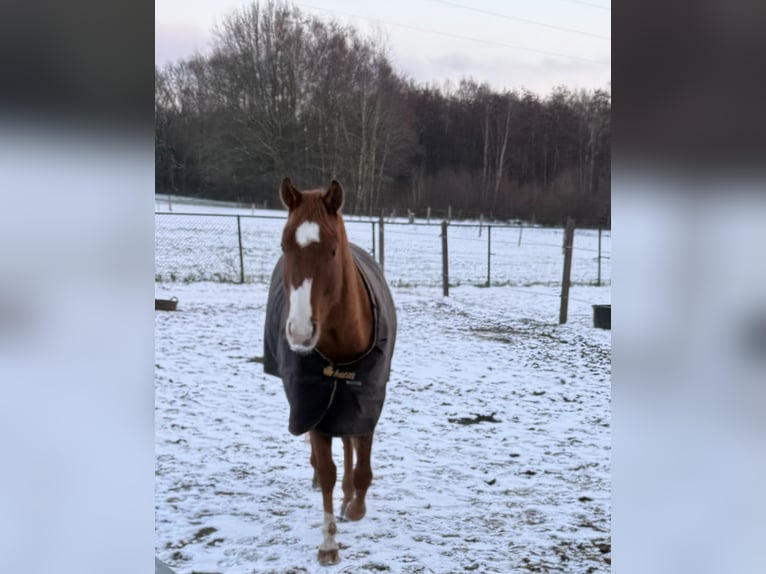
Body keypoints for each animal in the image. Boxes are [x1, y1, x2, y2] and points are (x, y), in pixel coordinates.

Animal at [263, 178, 397, 565]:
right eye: (284, 245)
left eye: (334, 250)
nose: (300, 333)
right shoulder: (312, 402)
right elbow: (326, 472)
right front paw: (328, 544)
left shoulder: (367, 399)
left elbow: (361, 461)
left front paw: (355, 505)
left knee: (349, 443)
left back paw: (349, 495)